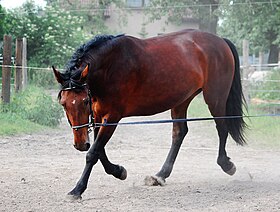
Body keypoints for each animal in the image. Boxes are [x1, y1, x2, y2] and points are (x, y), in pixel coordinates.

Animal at [52, 29, 245, 200]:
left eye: (85, 101)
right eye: (63, 103)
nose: (80, 144)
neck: (110, 67)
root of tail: (220, 40)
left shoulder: (112, 117)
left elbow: (93, 153)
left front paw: (77, 190)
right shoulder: (99, 117)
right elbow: (100, 151)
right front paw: (119, 171)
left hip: (215, 98)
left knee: (222, 128)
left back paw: (226, 164)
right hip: (181, 100)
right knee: (179, 133)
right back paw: (160, 175)